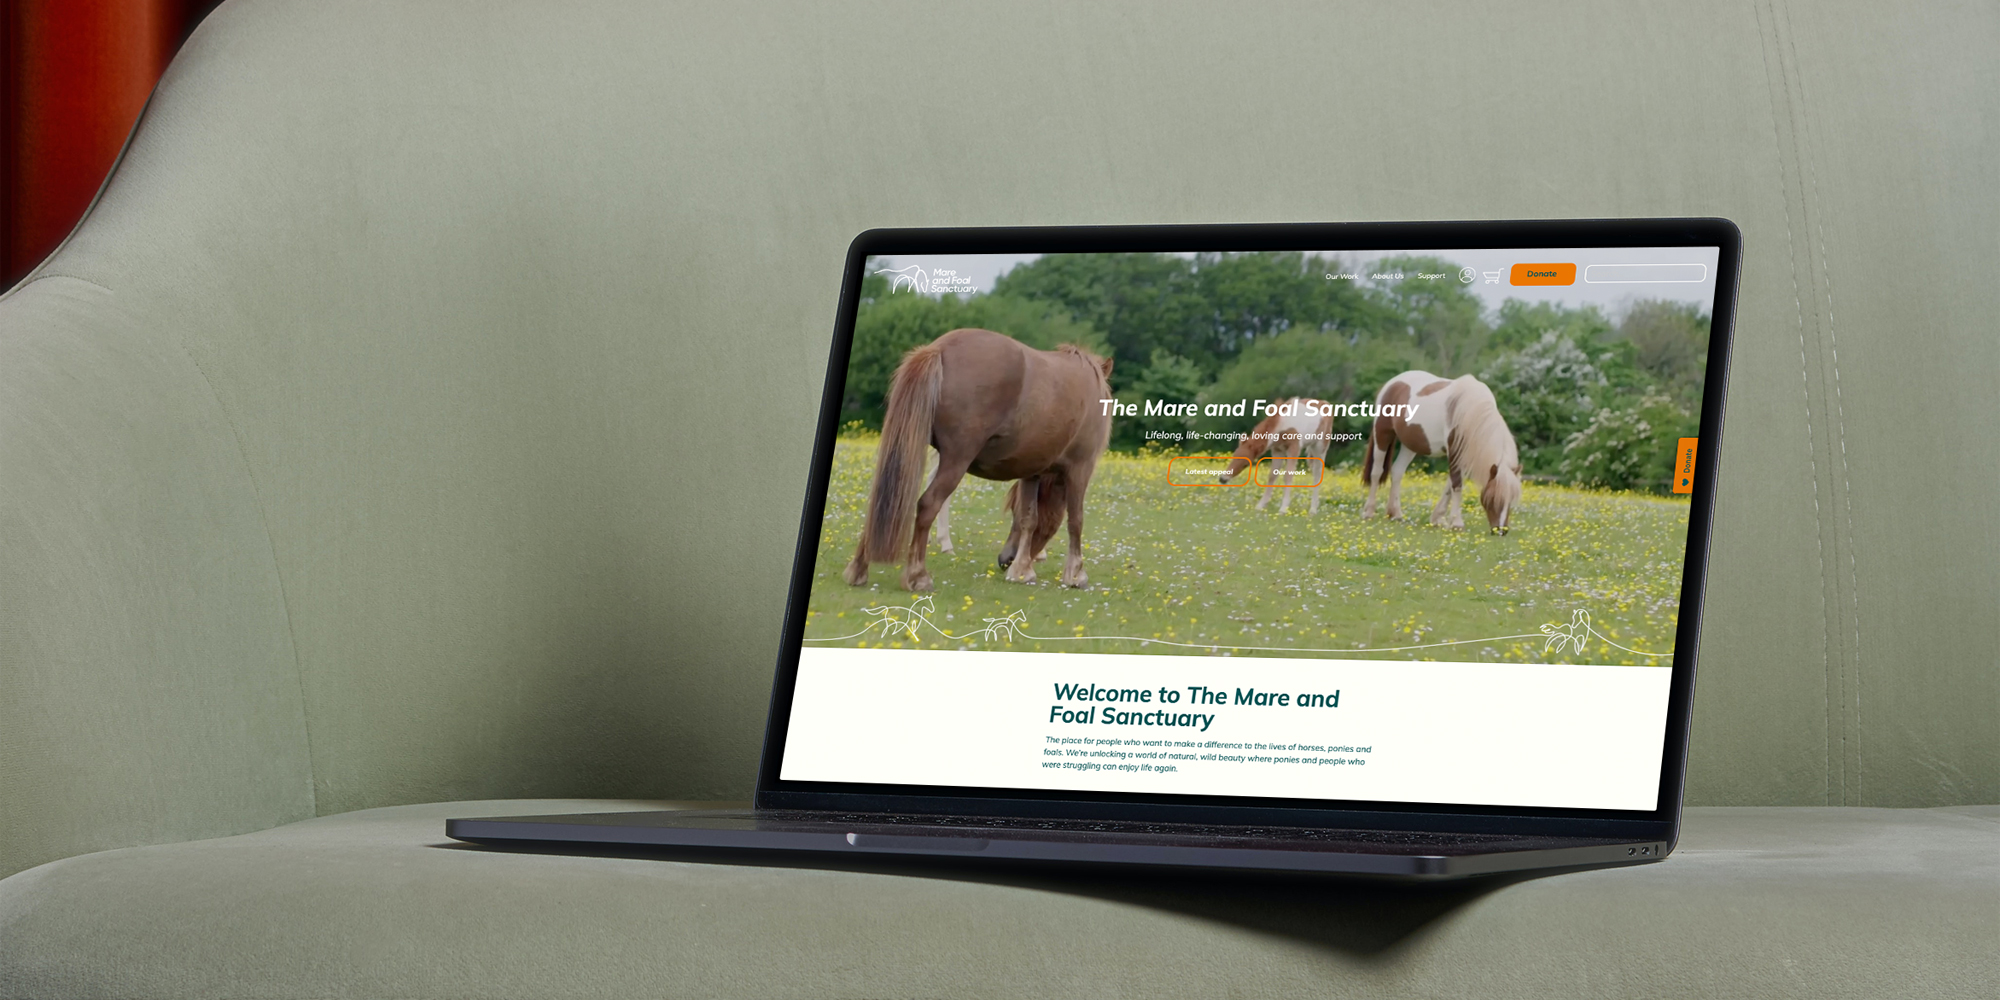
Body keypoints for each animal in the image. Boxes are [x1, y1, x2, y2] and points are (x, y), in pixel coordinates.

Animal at [840, 328, 1120, 592]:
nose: (1005, 560)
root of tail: (938, 349)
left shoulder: (1032, 472)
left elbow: (1029, 518)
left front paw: (1021, 570)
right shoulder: (1080, 469)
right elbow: (1075, 520)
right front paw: (1075, 574)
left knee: (886, 499)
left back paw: (858, 570)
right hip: (956, 459)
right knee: (928, 504)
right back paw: (918, 576)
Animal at [1368, 372, 1520, 536]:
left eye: (1511, 499)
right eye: (1492, 498)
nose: (1501, 531)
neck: (1471, 412)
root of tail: (1392, 383)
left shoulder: (1463, 456)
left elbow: (1450, 486)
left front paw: (1438, 519)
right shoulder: (1454, 450)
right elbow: (1457, 485)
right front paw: (1457, 523)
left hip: (1410, 445)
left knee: (1397, 471)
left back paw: (1395, 514)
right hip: (1382, 434)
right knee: (1377, 472)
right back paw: (1368, 512)